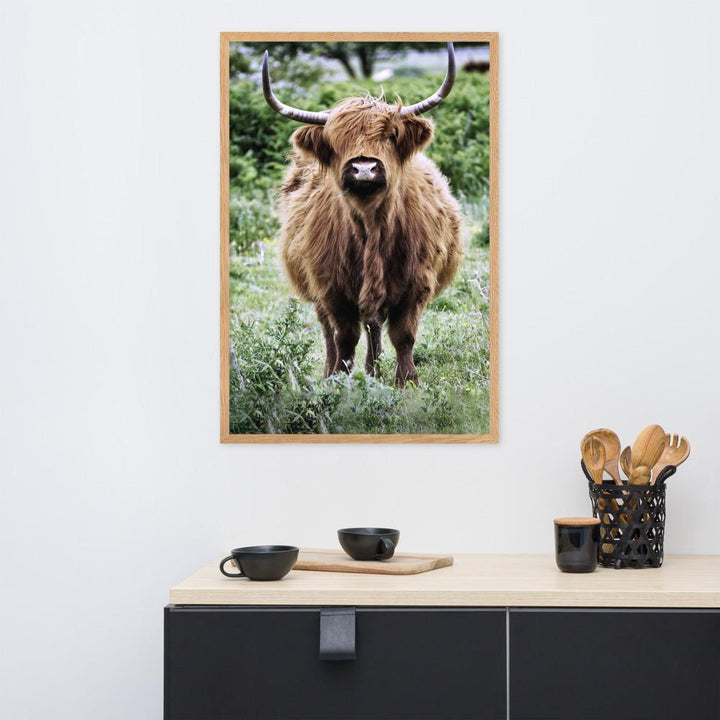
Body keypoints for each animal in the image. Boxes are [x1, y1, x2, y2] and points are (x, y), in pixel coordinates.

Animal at [262, 43, 462, 387]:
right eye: (335, 141)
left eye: (392, 135)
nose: (364, 168)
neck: (372, 227)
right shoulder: (331, 288)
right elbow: (344, 336)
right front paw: (339, 381)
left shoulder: (417, 283)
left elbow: (403, 335)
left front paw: (406, 382)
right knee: (332, 331)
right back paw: (338, 372)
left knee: (374, 324)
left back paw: (374, 371)